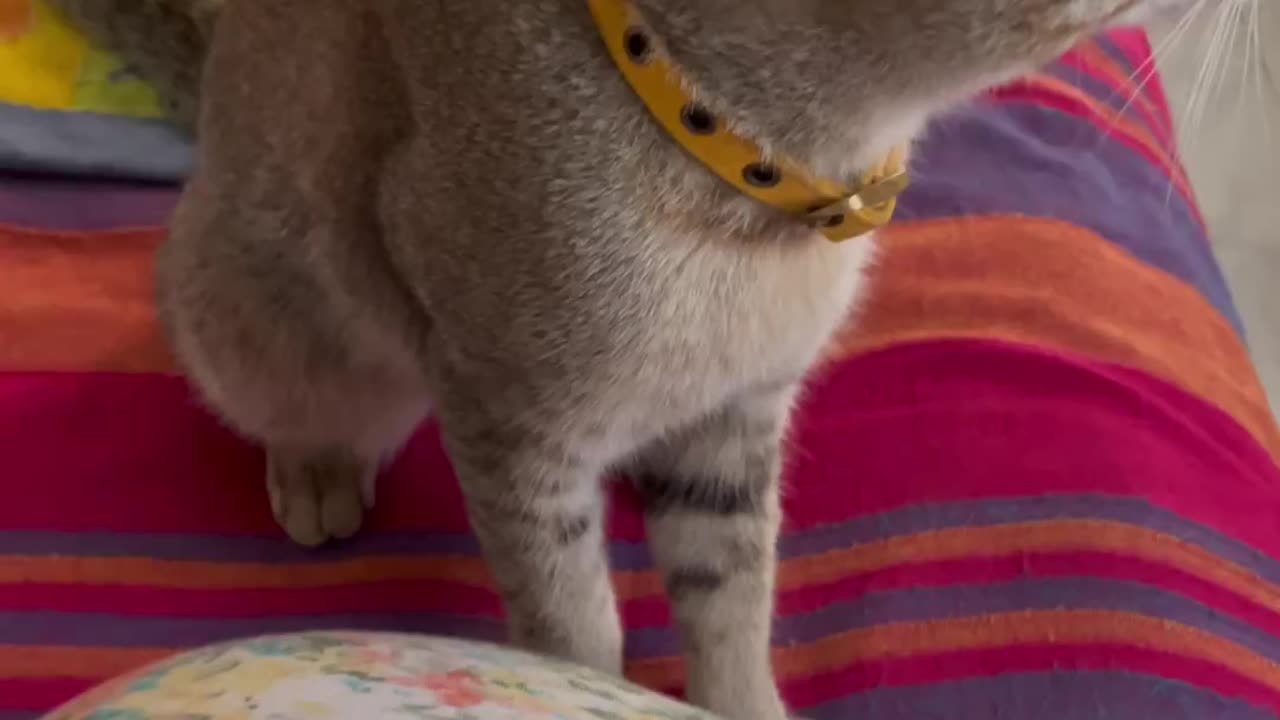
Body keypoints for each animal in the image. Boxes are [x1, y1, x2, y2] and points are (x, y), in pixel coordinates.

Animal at [52, 2, 1177, 712]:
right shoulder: (506, 414)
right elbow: (570, 617)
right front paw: (584, 684)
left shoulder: (741, 417)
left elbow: (732, 595)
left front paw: (741, 701)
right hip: (252, 306)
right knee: (287, 384)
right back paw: (317, 466)